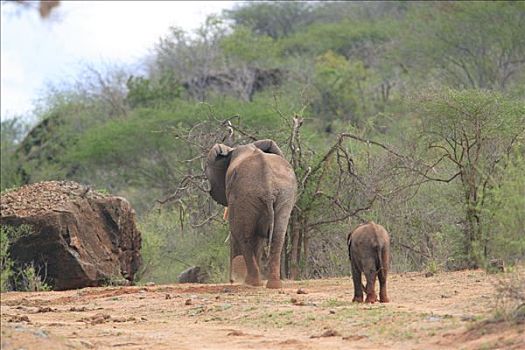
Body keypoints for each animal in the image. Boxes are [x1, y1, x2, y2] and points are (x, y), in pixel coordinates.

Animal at [205, 138, 294, 288]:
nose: (231, 280)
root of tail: (268, 184)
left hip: (247, 196)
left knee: (242, 234)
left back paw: (251, 283)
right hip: (283, 195)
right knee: (277, 236)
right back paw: (273, 285)